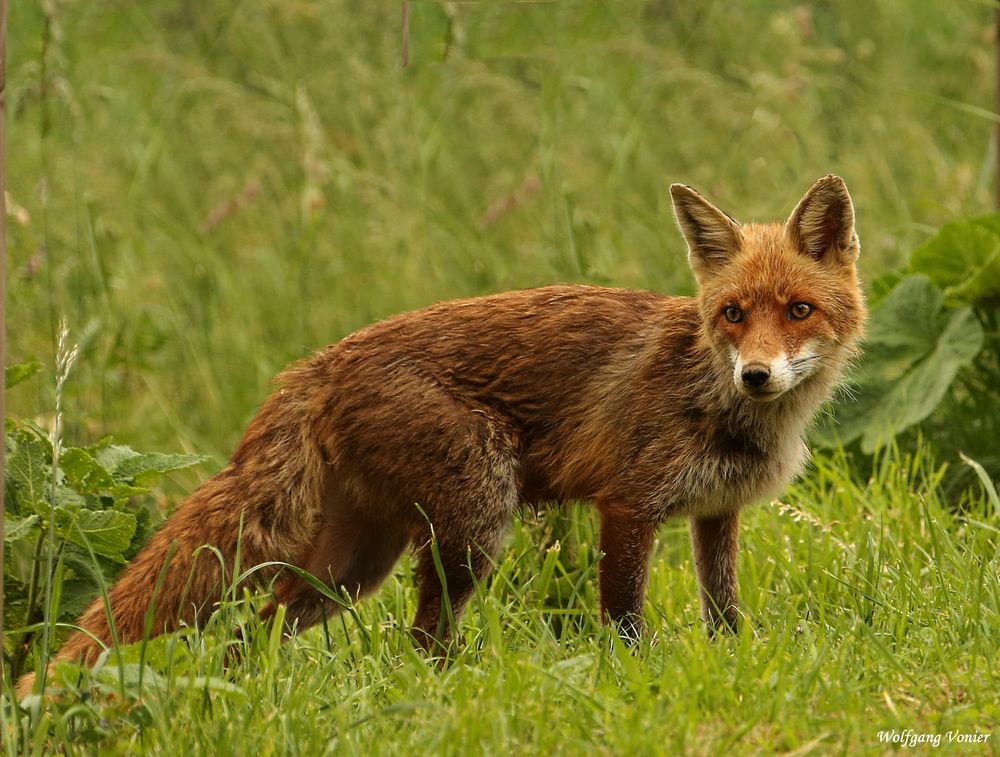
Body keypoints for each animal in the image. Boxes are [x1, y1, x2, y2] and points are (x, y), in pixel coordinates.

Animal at [15, 174, 864, 692]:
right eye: (732, 314)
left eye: (798, 310)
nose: (756, 374)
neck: (716, 398)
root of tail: (319, 362)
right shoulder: (629, 505)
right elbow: (624, 622)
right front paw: (636, 684)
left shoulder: (717, 513)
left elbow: (725, 615)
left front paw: (734, 669)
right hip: (473, 525)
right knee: (421, 641)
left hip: (351, 566)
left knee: (257, 630)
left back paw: (240, 692)